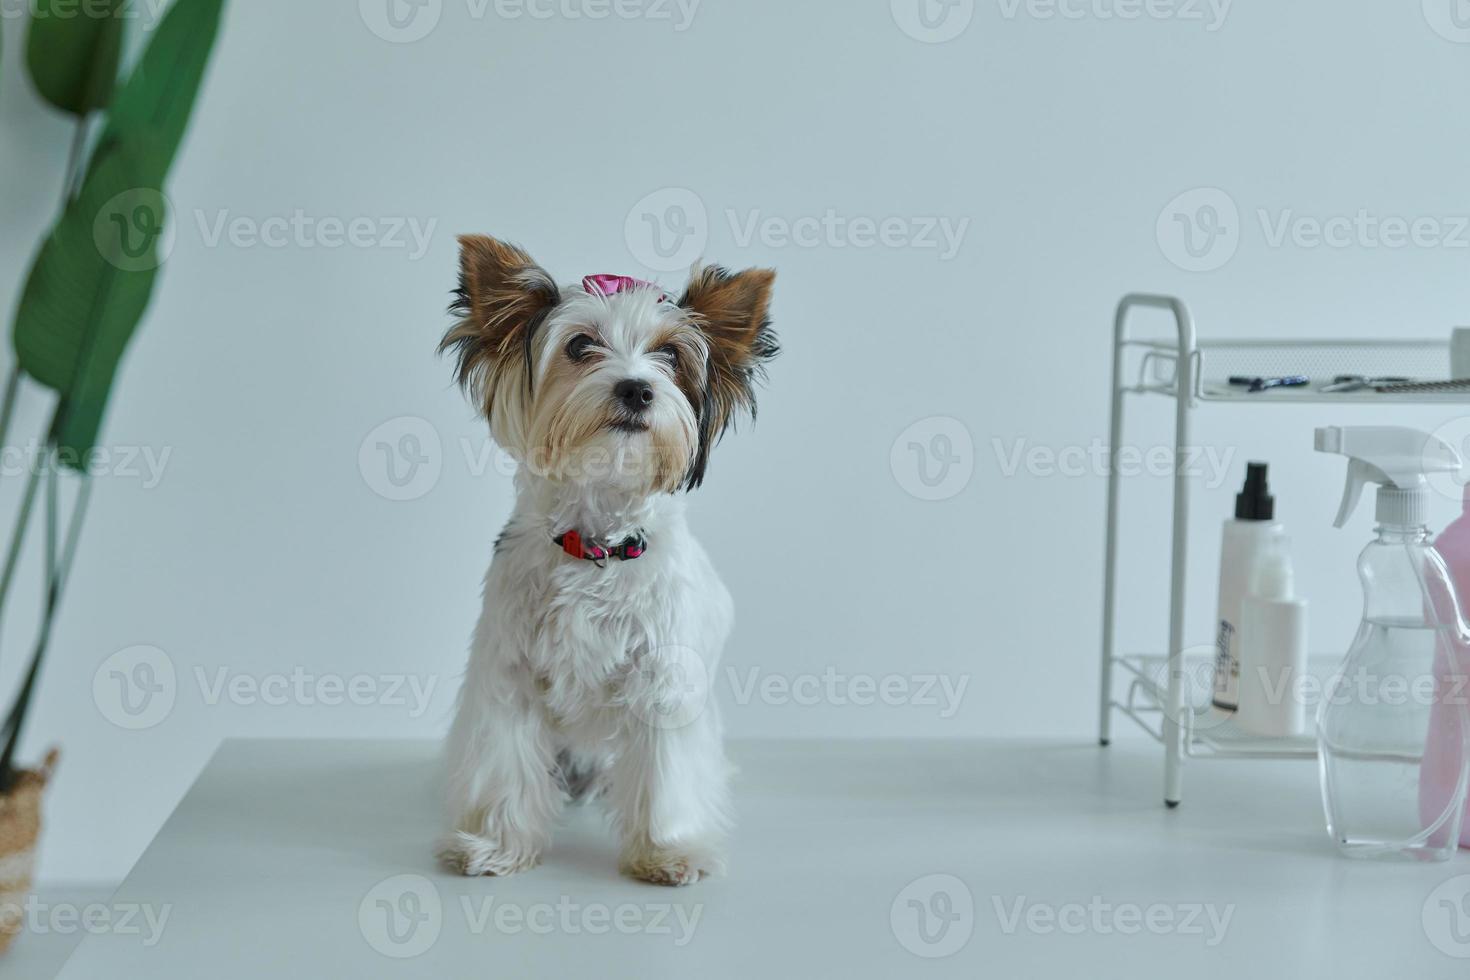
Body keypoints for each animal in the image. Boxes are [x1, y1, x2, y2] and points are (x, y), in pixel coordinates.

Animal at [435, 233, 782, 887]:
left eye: (670, 354)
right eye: (580, 345)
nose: (637, 388)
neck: (598, 545)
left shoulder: (665, 677)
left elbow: (668, 771)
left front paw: (669, 850)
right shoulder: (510, 671)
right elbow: (504, 760)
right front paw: (498, 844)